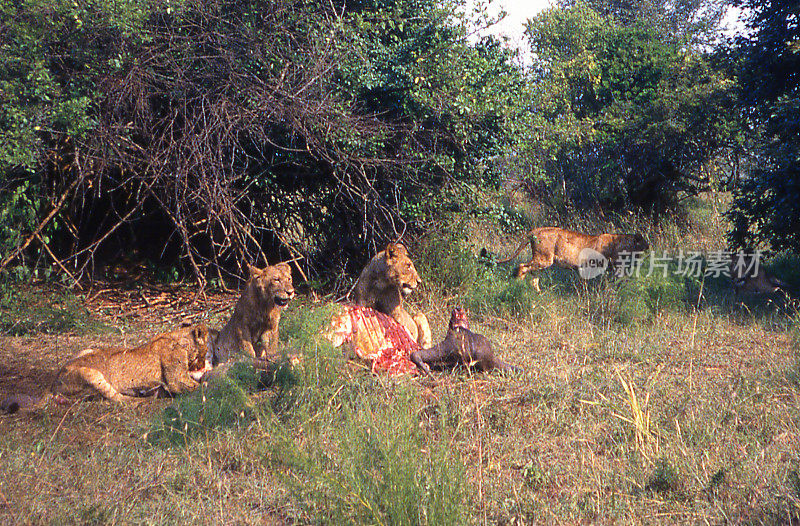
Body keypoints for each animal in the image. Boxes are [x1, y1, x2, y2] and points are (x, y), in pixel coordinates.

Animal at [0, 324, 216, 414]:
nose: (201, 365)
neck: (180, 338)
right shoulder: (175, 379)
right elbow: (195, 386)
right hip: (92, 373)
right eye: (206, 351)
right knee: (117, 399)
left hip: (88, 348)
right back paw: (145, 398)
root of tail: (52, 384)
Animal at [500, 227, 648, 292]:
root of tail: (536, 230)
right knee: (522, 266)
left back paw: (538, 293)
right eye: (644, 242)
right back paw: (518, 286)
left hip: (542, 261)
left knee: (533, 276)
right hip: (544, 259)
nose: (648, 246)